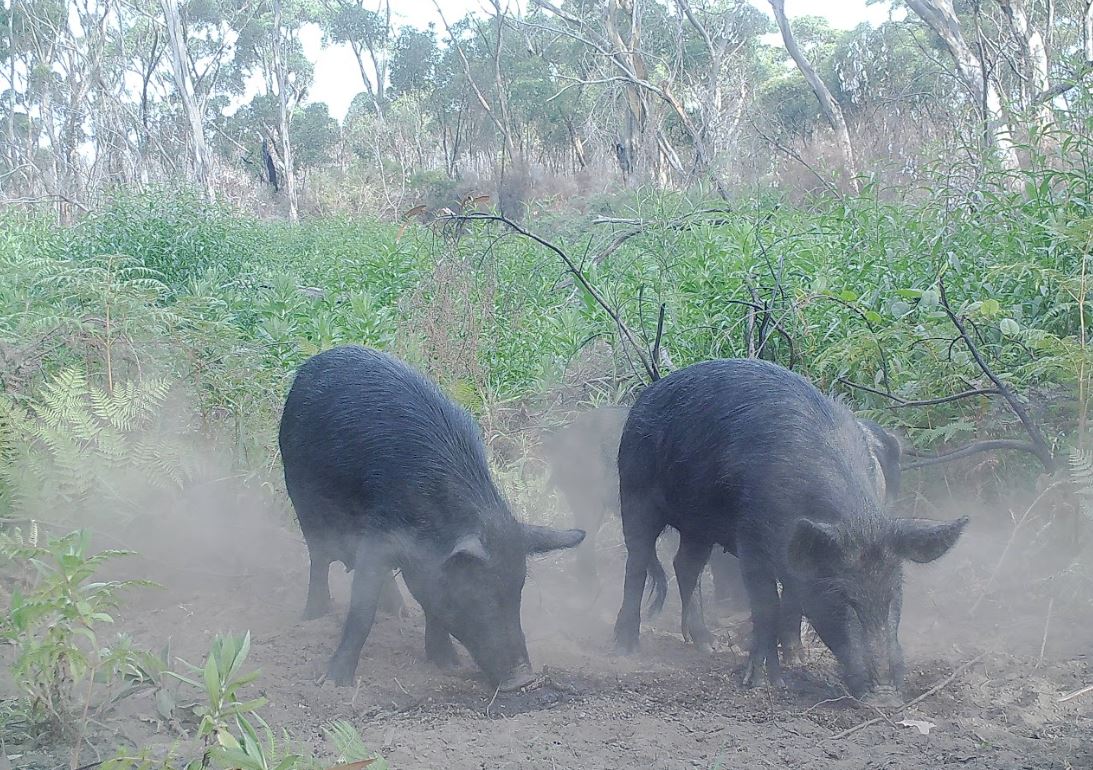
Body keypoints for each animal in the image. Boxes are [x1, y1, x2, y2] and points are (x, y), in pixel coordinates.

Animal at [279, 345, 585, 690]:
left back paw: (399, 614)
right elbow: (362, 609)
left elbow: (429, 602)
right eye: (474, 592)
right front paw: (334, 682)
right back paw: (313, 616)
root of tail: (319, 359)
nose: (522, 678)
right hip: (302, 498)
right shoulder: (381, 535)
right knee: (318, 559)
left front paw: (448, 665)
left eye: (517, 591)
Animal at [612, 357, 966, 705]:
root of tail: (647, 395)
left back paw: (706, 645)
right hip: (634, 490)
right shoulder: (751, 541)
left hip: (698, 524)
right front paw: (762, 682)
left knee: (685, 566)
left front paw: (798, 659)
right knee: (637, 562)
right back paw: (626, 647)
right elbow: (767, 604)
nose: (886, 697)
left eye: (894, 595)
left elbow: (793, 599)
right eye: (841, 595)